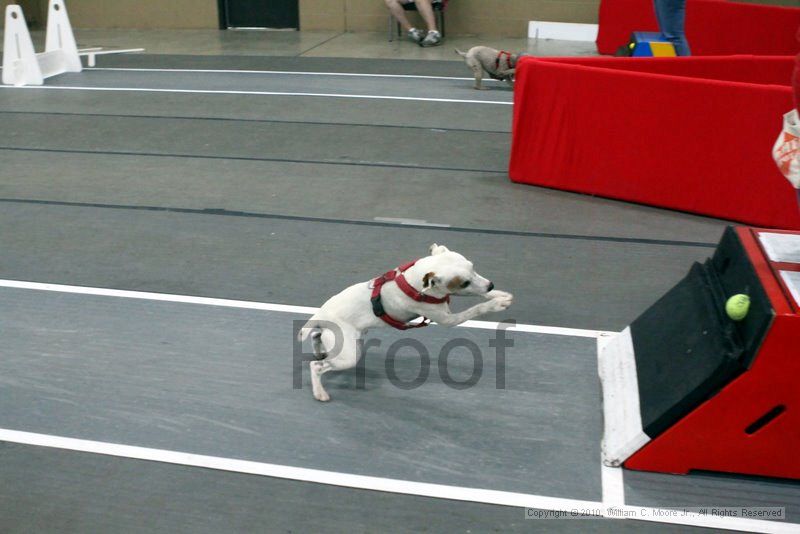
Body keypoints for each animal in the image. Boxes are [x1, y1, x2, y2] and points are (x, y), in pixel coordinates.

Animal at [296, 245, 516, 404]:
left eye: (473, 267)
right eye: (463, 283)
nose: (491, 285)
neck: (414, 283)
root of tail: (321, 313)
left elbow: (481, 295)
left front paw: (499, 295)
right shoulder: (448, 319)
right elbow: (476, 308)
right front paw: (496, 303)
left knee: (316, 338)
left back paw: (318, 350)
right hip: (349, 356)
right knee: (316, 366)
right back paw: (319, 392)